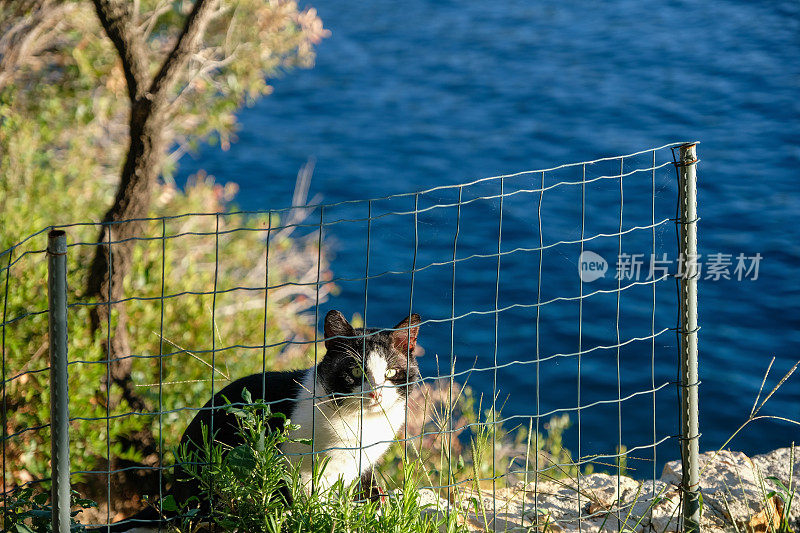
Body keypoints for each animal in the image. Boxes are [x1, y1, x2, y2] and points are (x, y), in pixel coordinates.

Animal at [99, 310, 422, 528]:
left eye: (391, 373)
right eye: (354, 372)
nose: (375, 394)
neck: (360, 424)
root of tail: (174, 490)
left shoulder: (361, 463)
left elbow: (362, 487)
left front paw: (365, 506)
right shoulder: (299, 466)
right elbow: (309, 502)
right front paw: (318, 519)